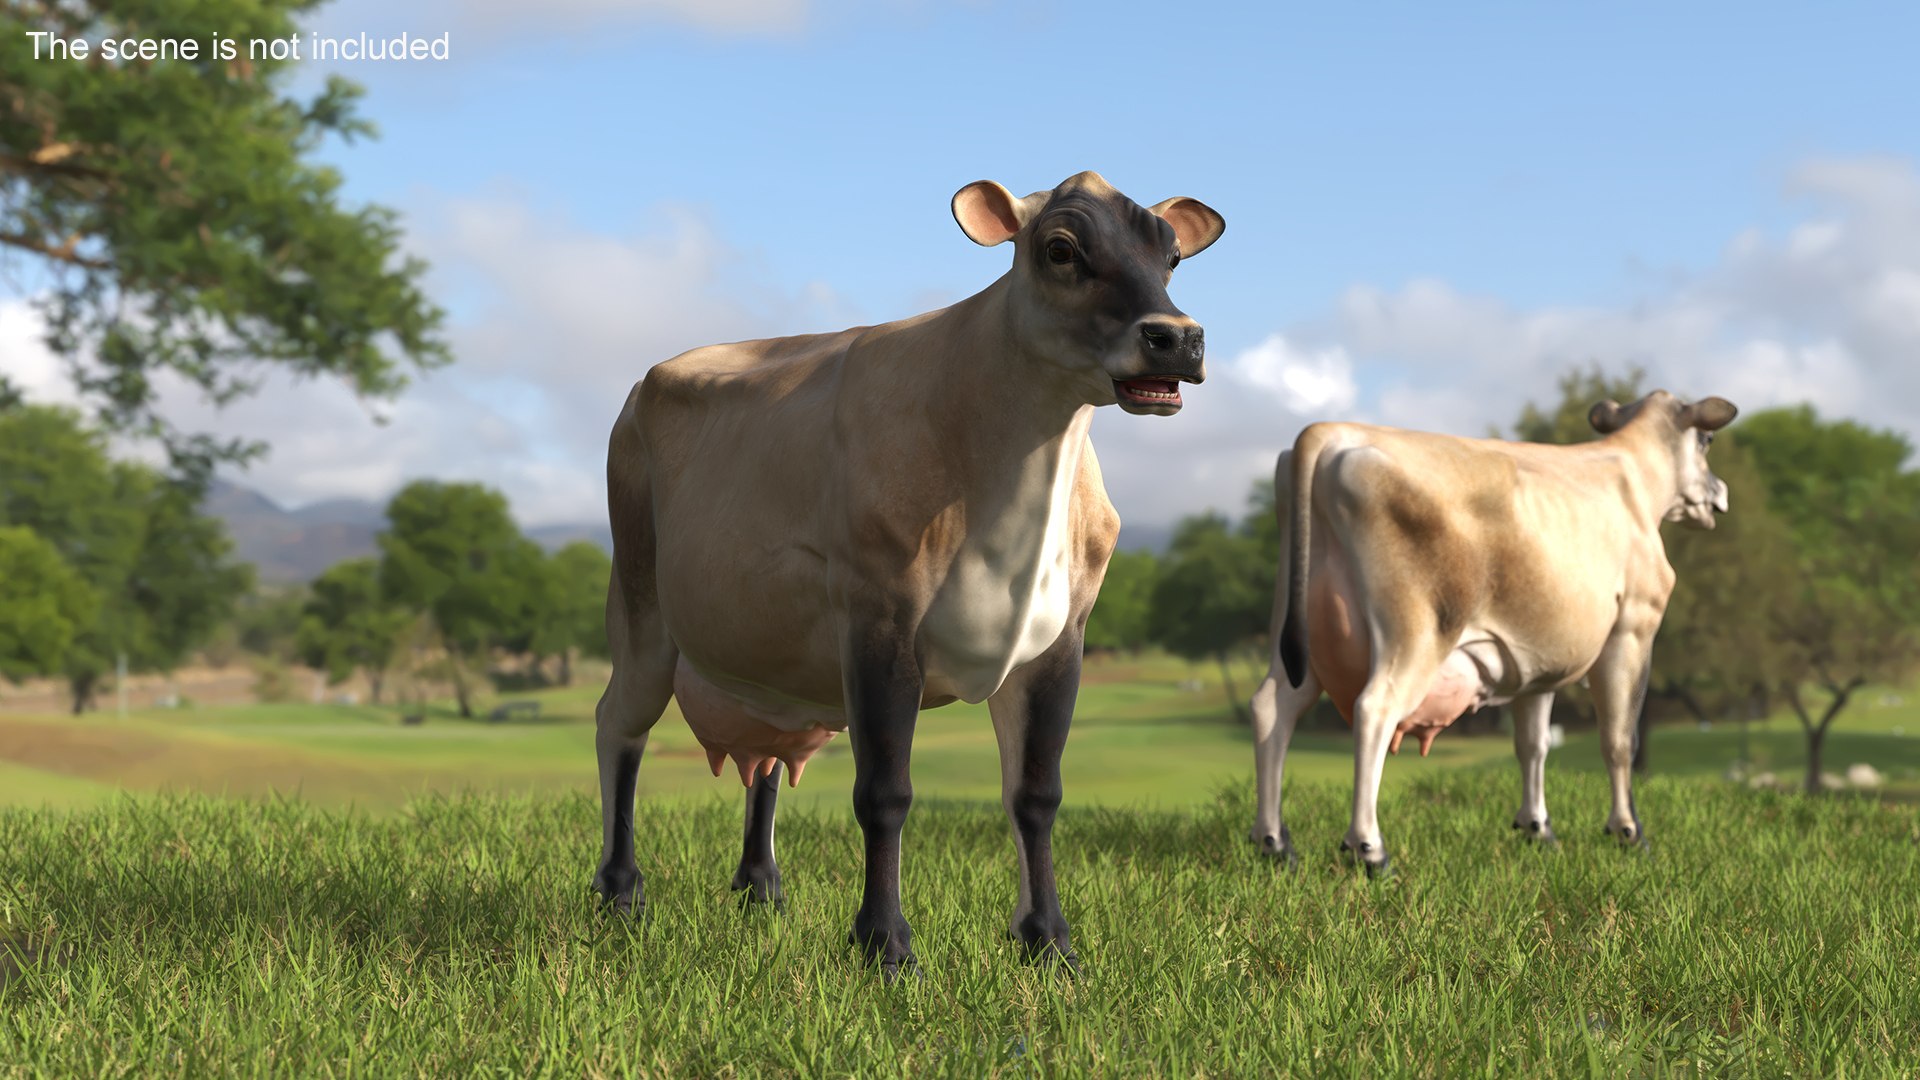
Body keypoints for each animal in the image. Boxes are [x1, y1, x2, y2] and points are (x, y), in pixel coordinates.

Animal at [593, 172, 1225, 977]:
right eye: (1060, 249)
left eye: (1171, 255)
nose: (1176, 337)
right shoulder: (879, 619)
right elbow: (884, 792)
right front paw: (884, 946)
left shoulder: (1061, 639)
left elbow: (1036, 794)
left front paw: (1048, 942)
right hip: (639, 599)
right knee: (620, 726)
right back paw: (619, 892)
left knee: (762, 754)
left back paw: (761, 887)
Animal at [1246, 390, 1738, 875]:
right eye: (1707, 441)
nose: (1721, 491)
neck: (1631, 475)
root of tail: (1332, 432)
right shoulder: (1633, 627)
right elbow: (1620, 740)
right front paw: (1629, 833)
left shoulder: (1539, 657)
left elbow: (1534, 743)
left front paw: (1538, 829)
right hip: (1418, 632)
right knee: (1374, 710)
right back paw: (1370, 850)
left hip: (1295, 634)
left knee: (1274, 708)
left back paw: (1275, 844)